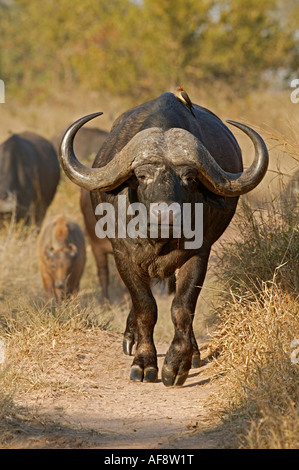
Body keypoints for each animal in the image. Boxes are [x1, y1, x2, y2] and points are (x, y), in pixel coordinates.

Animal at [59, 91, 270, 386]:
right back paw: (131, 338)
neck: (158, 239)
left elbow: (182, 307)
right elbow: (145, 307)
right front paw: (144, 362)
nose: (166, 216)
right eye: (142, 175)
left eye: (189, 177)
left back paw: (193, 352)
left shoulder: (199, 255)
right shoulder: (123, 256)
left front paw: (177, 363)